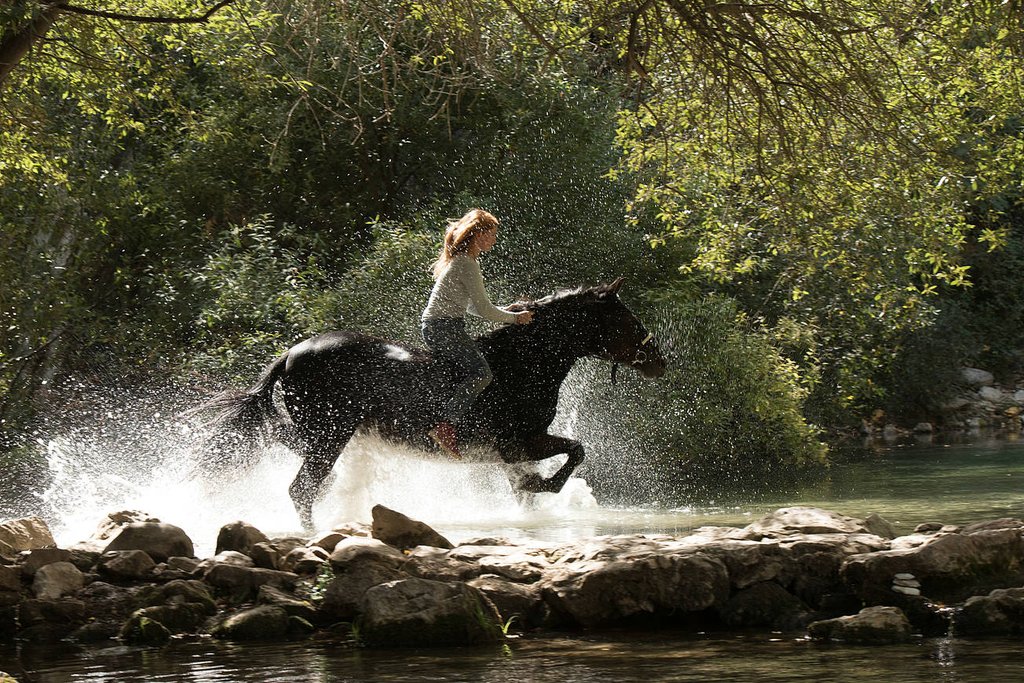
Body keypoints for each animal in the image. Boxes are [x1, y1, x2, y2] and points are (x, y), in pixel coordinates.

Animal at [196, 277, 666, 529]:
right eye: (628, 319)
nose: (660, 362)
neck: (522, 364)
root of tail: (293, 353)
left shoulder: (513, 451)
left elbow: (531, 489)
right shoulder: (519, 442)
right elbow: (574, 452)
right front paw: (545, 485)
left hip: (326, 433)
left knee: (281, 441)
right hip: (330, 434)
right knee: (300, 488)